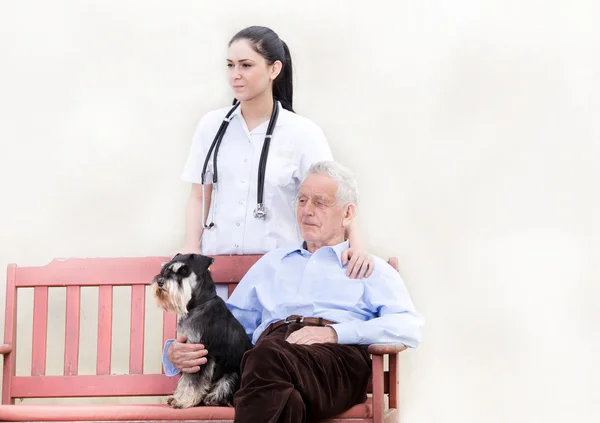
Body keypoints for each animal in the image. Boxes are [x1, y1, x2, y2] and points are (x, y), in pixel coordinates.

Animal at [152, 253, 253, 410]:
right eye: (166, 268)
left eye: (183, 270)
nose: (160, 281)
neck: (198, 305)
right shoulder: (189, 354)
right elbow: (185, 379)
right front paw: (178, 397)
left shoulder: (202, 353)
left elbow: (193, 381)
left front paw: (183, 401)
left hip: (232, 375)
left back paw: (213, 399)